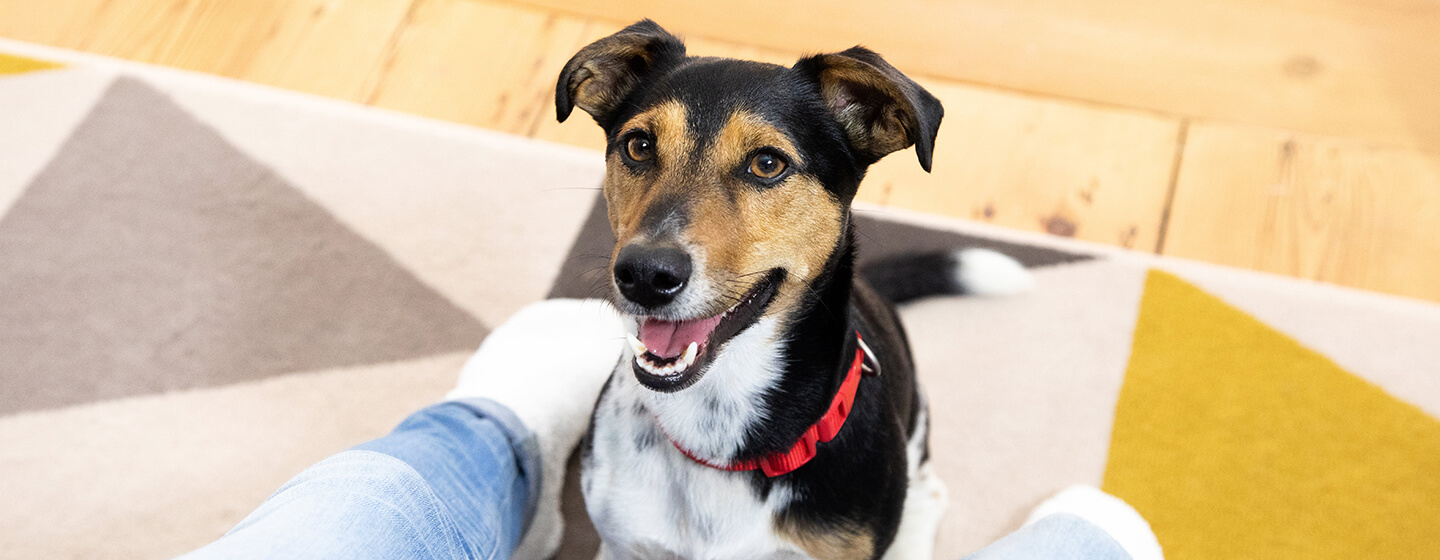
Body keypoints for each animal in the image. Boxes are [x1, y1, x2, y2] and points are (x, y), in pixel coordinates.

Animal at [555, 19, 1031, 555]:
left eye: (767, 163)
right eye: (638, 146)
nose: (644, 275)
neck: (718, 431)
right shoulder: (625, 542)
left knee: (929, 495)